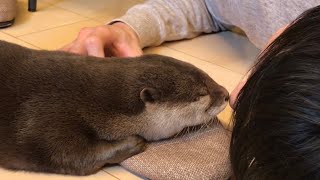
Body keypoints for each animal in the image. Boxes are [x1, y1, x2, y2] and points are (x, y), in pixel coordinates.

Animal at [0, 40, 230, 176]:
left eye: (207, 76)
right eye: (201, 94)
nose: (227, 94)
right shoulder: (47, 118)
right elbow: (70, 156)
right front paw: (134, 142)